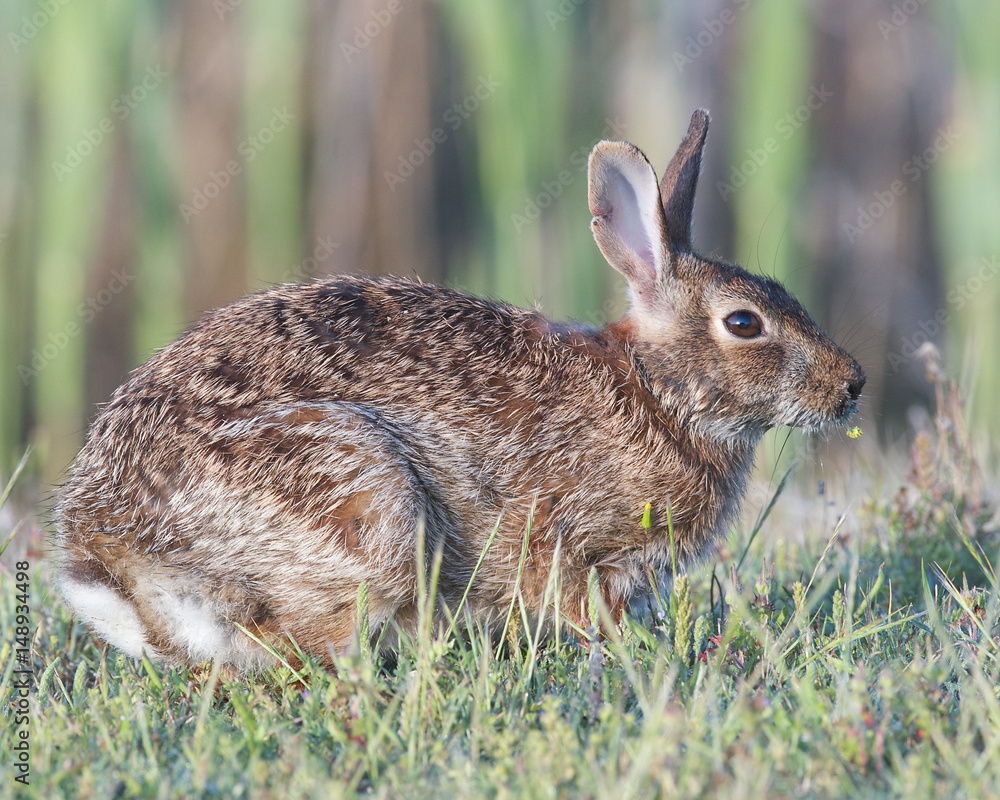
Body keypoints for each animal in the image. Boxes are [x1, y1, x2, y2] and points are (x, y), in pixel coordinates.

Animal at [54, 109, 865, 672]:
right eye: (744, 323)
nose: (852, 385)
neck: (659, 392)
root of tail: (113, 556)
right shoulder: (565, 542)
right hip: (361, 494)